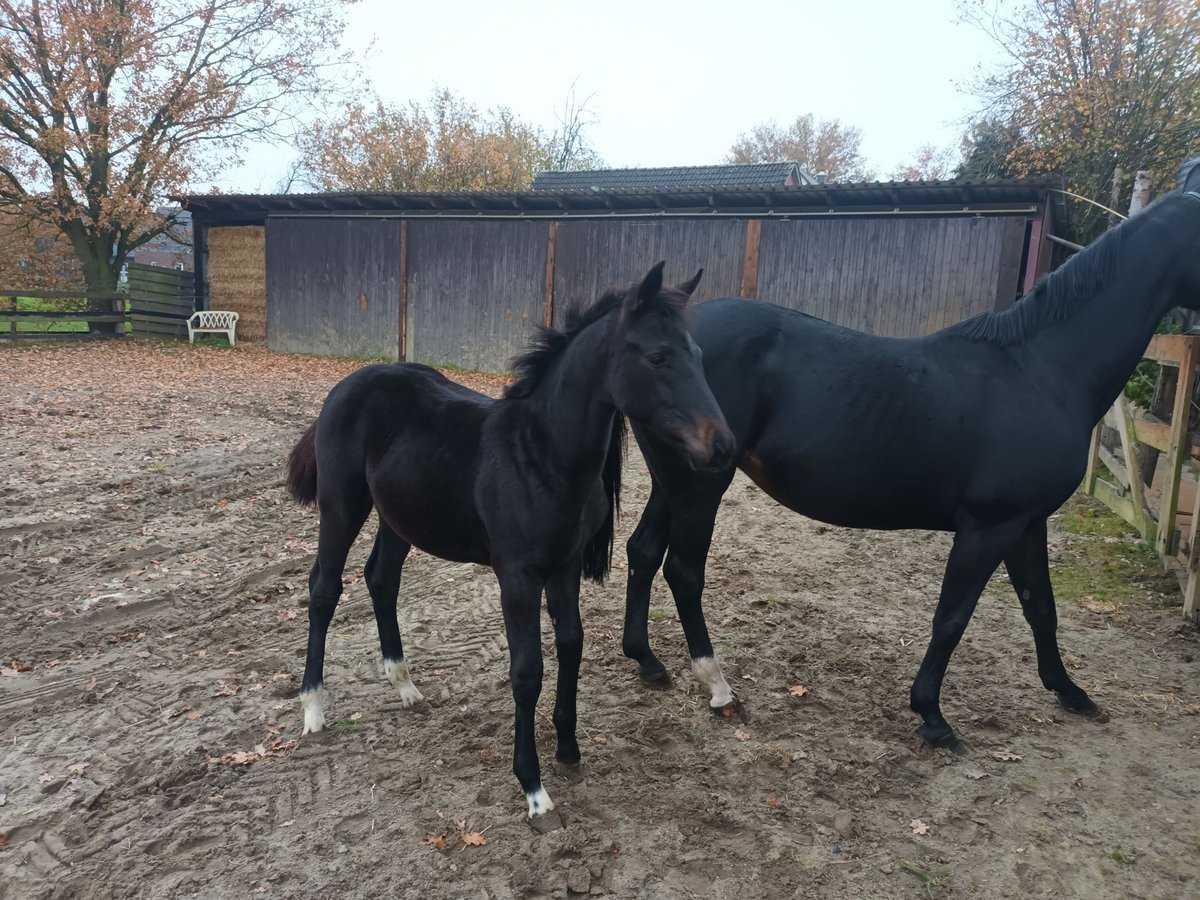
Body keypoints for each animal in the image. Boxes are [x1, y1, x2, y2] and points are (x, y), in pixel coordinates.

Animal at [285, 261, 734, 824]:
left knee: (381, 579)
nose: (723, 447)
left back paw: (405, 685)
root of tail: (348, 382)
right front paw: (534, 788)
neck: (542, 455)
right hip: (342, 504)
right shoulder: (516, 576)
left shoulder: (565, 565)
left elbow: (571, 644)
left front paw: (568, 748)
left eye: (698, 354)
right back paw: (313, 707)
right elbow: (527, 672)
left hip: (400, 515)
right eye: (658, 356)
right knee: (324, 588)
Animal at [620, 165, 1200, 753]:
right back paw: (719, 688)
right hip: (700, 486)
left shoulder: (1027, 522)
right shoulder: (988, 527)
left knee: (643, 551)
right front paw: (933, 716)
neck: (1039, 370)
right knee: (684, 571)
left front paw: (1070, 693)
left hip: (673, 482)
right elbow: (952, 617)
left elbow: (1041, 607)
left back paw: (647, 660)